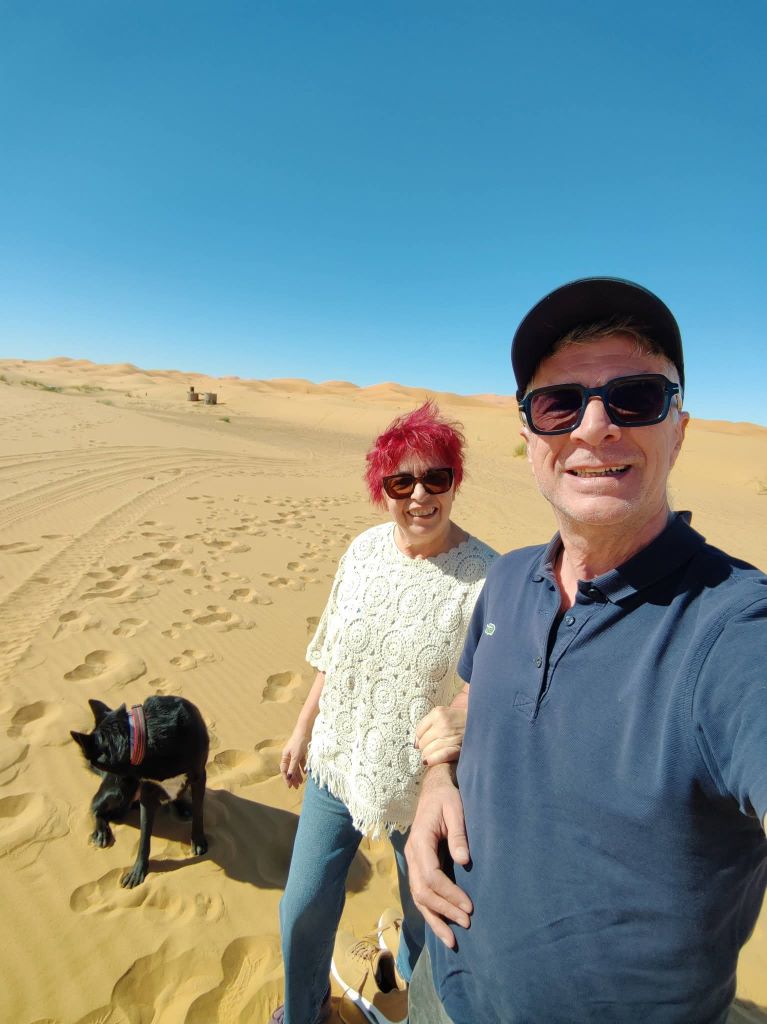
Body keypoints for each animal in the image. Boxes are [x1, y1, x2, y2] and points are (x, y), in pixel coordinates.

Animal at [71, 695, 209, 888]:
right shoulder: (146, 791)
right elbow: (144, 837)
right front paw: (138, 870)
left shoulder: (199, 776)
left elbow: (199, 812)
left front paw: (197, 840)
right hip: (121, 789)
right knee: (96, 806)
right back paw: (101, 830)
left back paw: (181, 806)